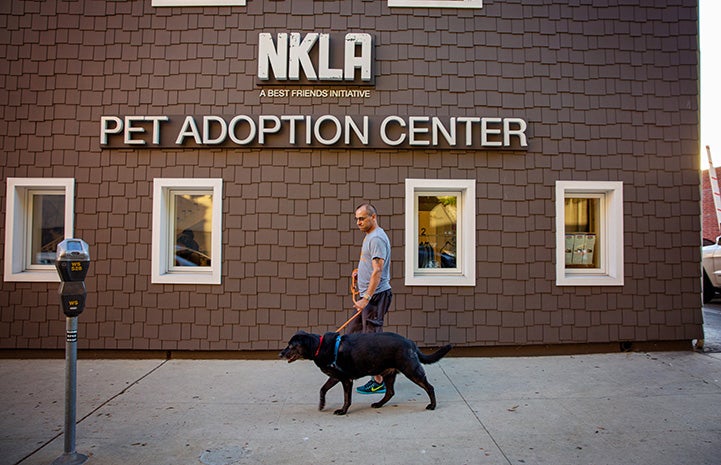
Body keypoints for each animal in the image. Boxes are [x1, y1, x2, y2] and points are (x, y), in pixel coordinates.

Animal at [278, 330, 450, 414]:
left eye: (291, 345)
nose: (280, 354)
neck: (319, 347)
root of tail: (411, 343)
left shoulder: (346, 380)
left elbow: (347, 398)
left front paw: (342, 411)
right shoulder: (335, 377)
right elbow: (322, 389)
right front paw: (322, 405)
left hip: (411, 370)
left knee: (429, 387)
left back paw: (432, 406)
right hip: (389, 373)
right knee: (390, 392)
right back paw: (379, 404)